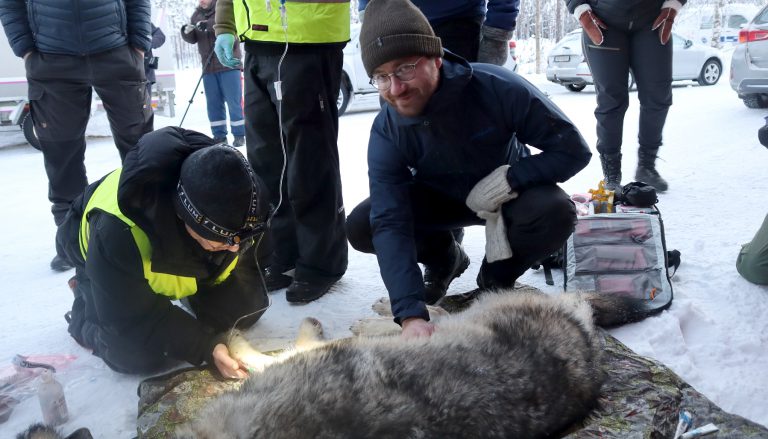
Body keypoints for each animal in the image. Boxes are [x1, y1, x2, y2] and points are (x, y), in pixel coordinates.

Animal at [176, 288, 610, 438]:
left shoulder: (301, 368)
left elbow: (272, 355)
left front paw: (232, 340)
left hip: (468, 319)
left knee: (433, 312)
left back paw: (376, 315)